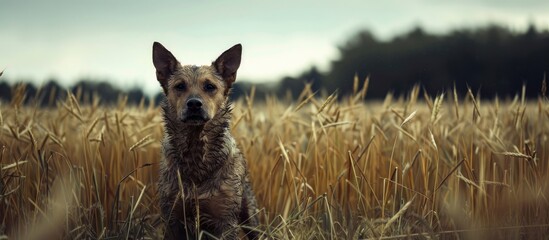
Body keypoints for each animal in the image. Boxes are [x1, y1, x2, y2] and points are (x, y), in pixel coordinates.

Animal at [152, 42, 260, 239]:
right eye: (180, 86)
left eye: (210, 86)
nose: (194, 103)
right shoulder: (172, 218)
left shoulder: (226, 219)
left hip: (250, 215)